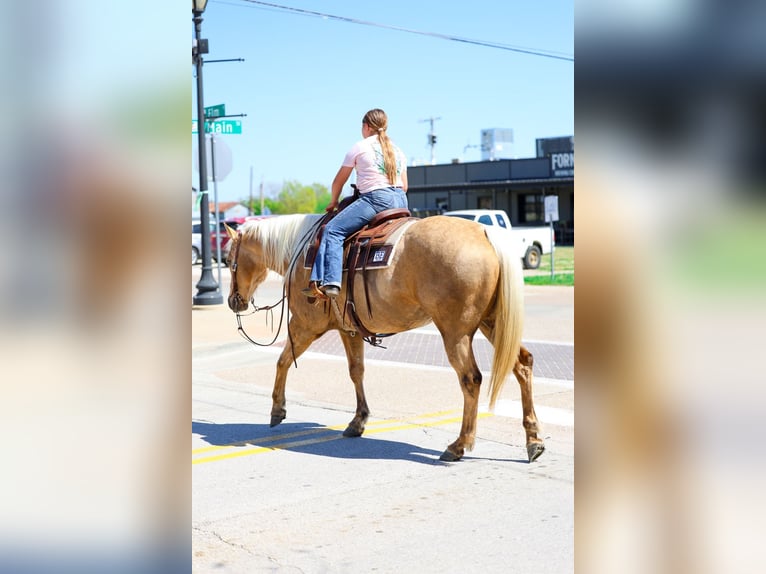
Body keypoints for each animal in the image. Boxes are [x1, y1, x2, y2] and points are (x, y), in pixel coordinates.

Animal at [224, 213, 545, 462]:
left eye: (228, 260)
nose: (233, 301)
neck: (302, 251)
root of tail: (483, 232)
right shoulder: (349, 329)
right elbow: (356, 371)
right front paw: (358, 421)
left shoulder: (305, 326)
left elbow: (282, 361)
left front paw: (277, 410)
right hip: (492, 323)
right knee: (522, 365)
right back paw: (534, 441)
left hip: (456, 332)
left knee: (471, 379)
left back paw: (459, 445)